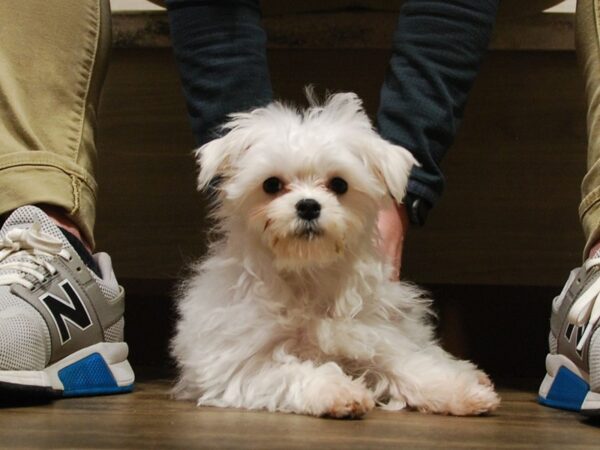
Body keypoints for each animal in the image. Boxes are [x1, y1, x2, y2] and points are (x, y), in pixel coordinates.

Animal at [171, 91, 500, 418]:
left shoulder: (377, 336)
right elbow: (291, 373)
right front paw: (337, 391)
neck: (307, 274)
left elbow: (410, 363)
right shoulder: (238, 367)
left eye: (339, 184)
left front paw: (458, 391)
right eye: (271, 184)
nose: (308, 206)